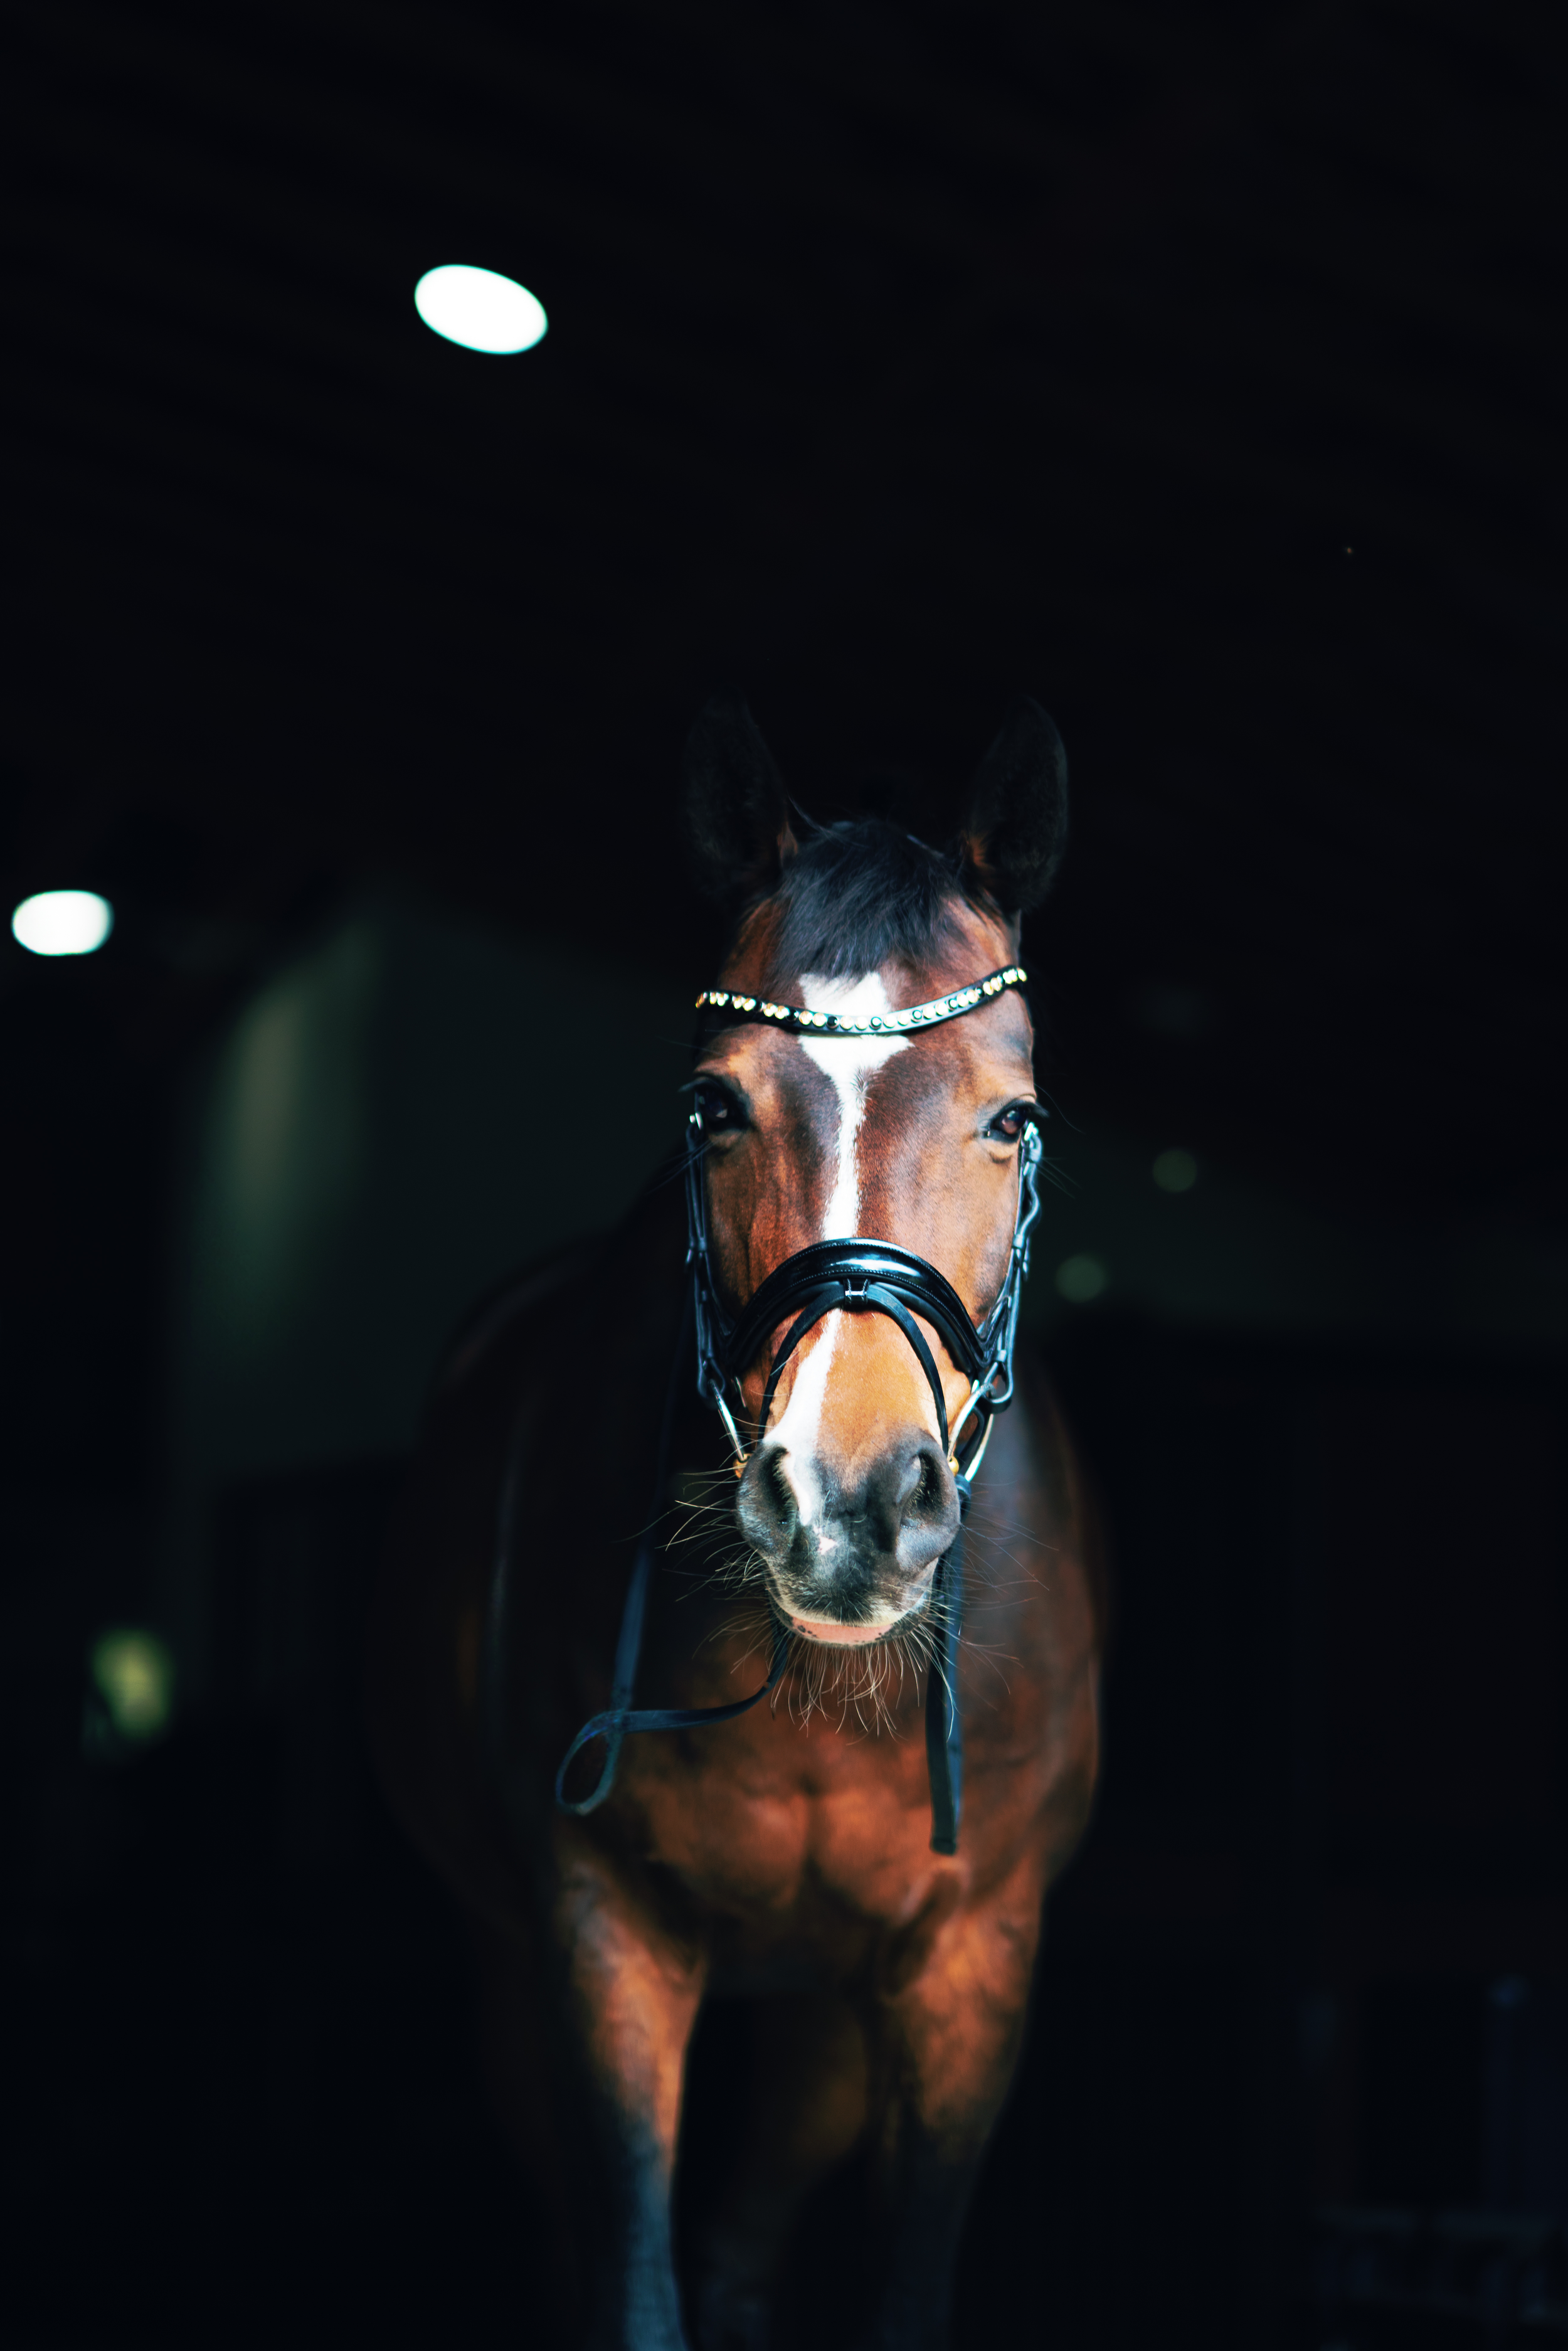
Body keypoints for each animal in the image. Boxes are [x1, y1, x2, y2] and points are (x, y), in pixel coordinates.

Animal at [367, 691, 1104, 2351]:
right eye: (712, 1105)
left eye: (1011, 1116)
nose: (845, 1503)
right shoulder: (598, 1934)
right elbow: (632, 2276)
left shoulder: (970, 1962)